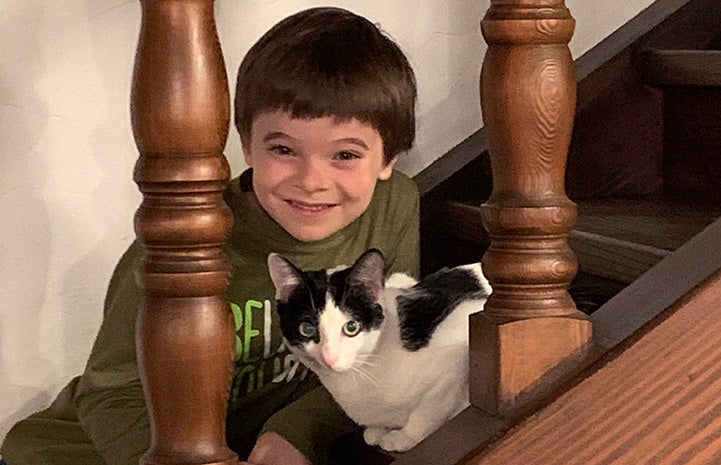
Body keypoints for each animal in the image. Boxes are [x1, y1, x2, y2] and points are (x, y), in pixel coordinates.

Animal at [268, 248, 492, 452]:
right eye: (307, 328)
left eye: (351, 327)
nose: (329, 358)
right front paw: (377, 430)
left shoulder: (463, 338)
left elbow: (431, 407)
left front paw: (404, 437)